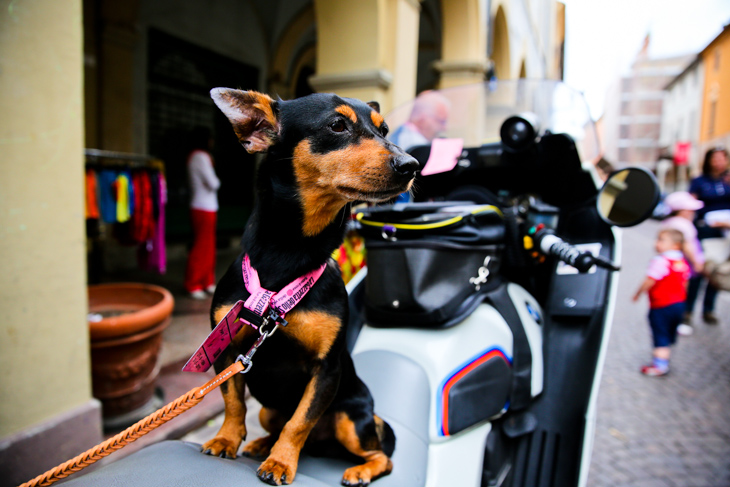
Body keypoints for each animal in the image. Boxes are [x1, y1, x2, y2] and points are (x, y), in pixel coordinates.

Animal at [202, 88, 418, 487]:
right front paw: (226, 439)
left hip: (352, 419)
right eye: (337, 125)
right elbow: (232, 402)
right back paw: (260, 444)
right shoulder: (228, 351)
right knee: (274, 422)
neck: (290, 252)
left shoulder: (327, 370)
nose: (412, 164)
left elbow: (300, 422)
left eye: (384, 130)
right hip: (268, 411)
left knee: (382, 455)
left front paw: (281, 462)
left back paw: (359, 470)